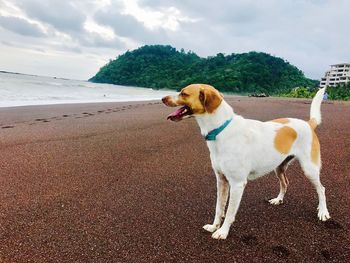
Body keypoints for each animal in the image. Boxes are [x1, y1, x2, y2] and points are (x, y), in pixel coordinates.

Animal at [161, 84, 330, 239]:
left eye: (184, 93)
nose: (163, 98)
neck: (221, 130)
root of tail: (308, 123)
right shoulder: (221, 180)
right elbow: (219, 208)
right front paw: (214, 226)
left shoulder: (237, 184)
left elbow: (229, 212)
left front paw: (222, 231)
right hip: (279, 167)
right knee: (285, 183)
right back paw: (278, 200)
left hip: (309, 169)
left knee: (321, 189)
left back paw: (323, 212)